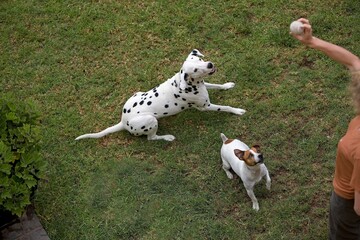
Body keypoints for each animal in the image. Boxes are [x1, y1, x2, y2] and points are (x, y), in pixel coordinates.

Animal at [75, 49, 245, 142]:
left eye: (199, 59)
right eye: (195, 70)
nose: (210, 65)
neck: (189, 84)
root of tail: (123, 122)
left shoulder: (205, 86)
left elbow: (218, 85)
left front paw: (227, 85)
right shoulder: (206, 106)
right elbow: (225, 107)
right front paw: (237, 111)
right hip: (151, 120)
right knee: (152, 138)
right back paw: (167, 137)